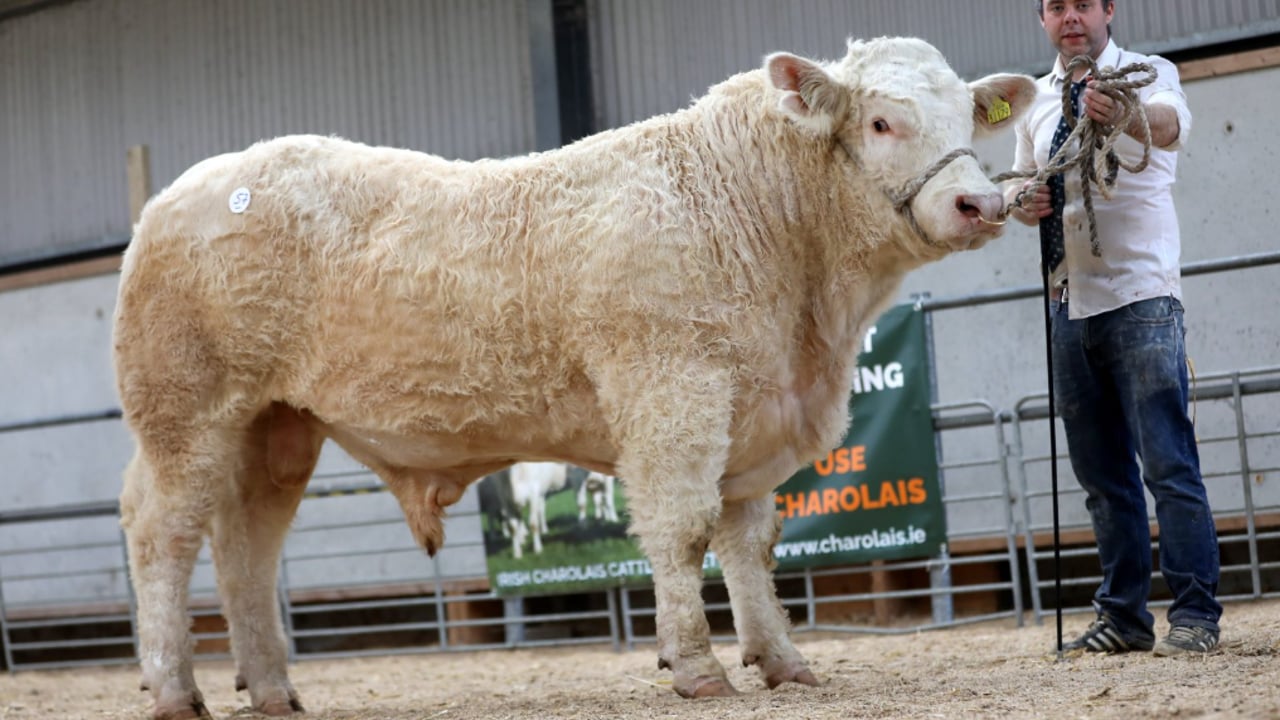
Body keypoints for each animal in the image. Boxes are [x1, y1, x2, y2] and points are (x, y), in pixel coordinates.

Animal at [113, 37, 1033, 717]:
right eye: (881, 122)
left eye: (969, 116)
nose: (980, 205)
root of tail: (178, 192)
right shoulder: (674, 392)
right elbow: (684, 530)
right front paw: (697, 668)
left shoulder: (752, 411)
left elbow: (749, 542)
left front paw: (781, 660)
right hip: (184, 412)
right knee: (162, 534)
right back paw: (173, 688)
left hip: (275, 426)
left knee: (246, 548)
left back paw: (271, 688)